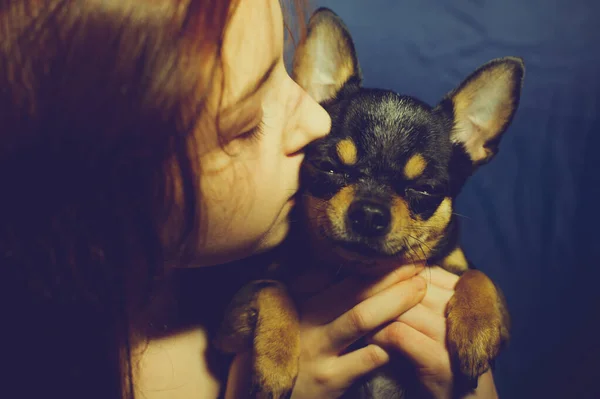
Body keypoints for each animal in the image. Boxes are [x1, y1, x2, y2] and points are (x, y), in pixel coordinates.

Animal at [213, 7, 524, 399]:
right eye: (328, 167)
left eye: (424, 189)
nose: (369, 214)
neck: (357, 271)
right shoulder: (228, 326)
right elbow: (272, 287)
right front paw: (275, 359)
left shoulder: (500, 314)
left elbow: (477, 275)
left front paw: (476, 328)